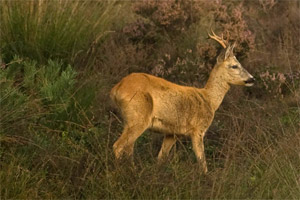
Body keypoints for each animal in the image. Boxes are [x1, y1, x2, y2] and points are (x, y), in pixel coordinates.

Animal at [110, 30, 255, 173]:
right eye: (234, 66)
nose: (252, 79)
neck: (209, 99)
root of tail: (116, 89)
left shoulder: (172, 133)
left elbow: (161, 158)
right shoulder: (198, 129)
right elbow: (202, 162)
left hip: (129, 120)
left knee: (129, 149)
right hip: (138, 118)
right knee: (118, 146)